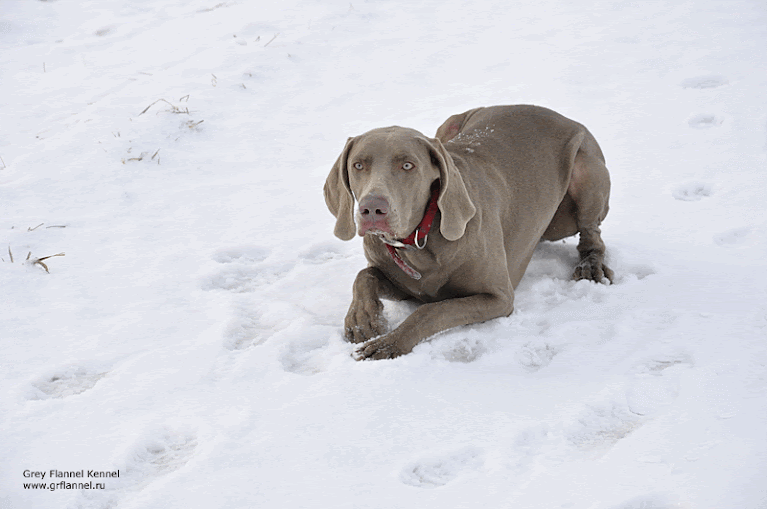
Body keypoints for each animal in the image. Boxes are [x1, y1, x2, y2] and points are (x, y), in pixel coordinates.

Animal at [322, 103, 612, 360]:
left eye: (407, 165)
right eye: (358, 165)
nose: (372, 209)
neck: (419, 239)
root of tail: (561, 116)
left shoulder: (498, 297)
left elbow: (431, 311)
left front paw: (389, 343)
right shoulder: (404, 283)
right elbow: (365, 275)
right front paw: (362, 320)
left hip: (585, 175)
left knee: (592, 235)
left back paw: (590, 266)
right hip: (448, 125)